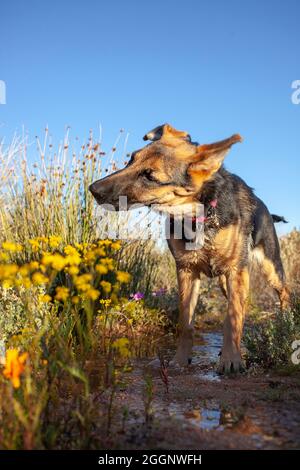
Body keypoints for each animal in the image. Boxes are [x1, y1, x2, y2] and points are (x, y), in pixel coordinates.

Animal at [89, 123, 290, 372]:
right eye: (131, 159)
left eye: (149, 176)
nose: (93, 189)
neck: (197, 214)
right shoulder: (186, 271)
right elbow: (186, 323)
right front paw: (181, 359)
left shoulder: (236, 271)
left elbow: (232, 318)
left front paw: (231, 359)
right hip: (225, 281)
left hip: (270, 269)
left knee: (284, 294)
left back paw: (286, 324)